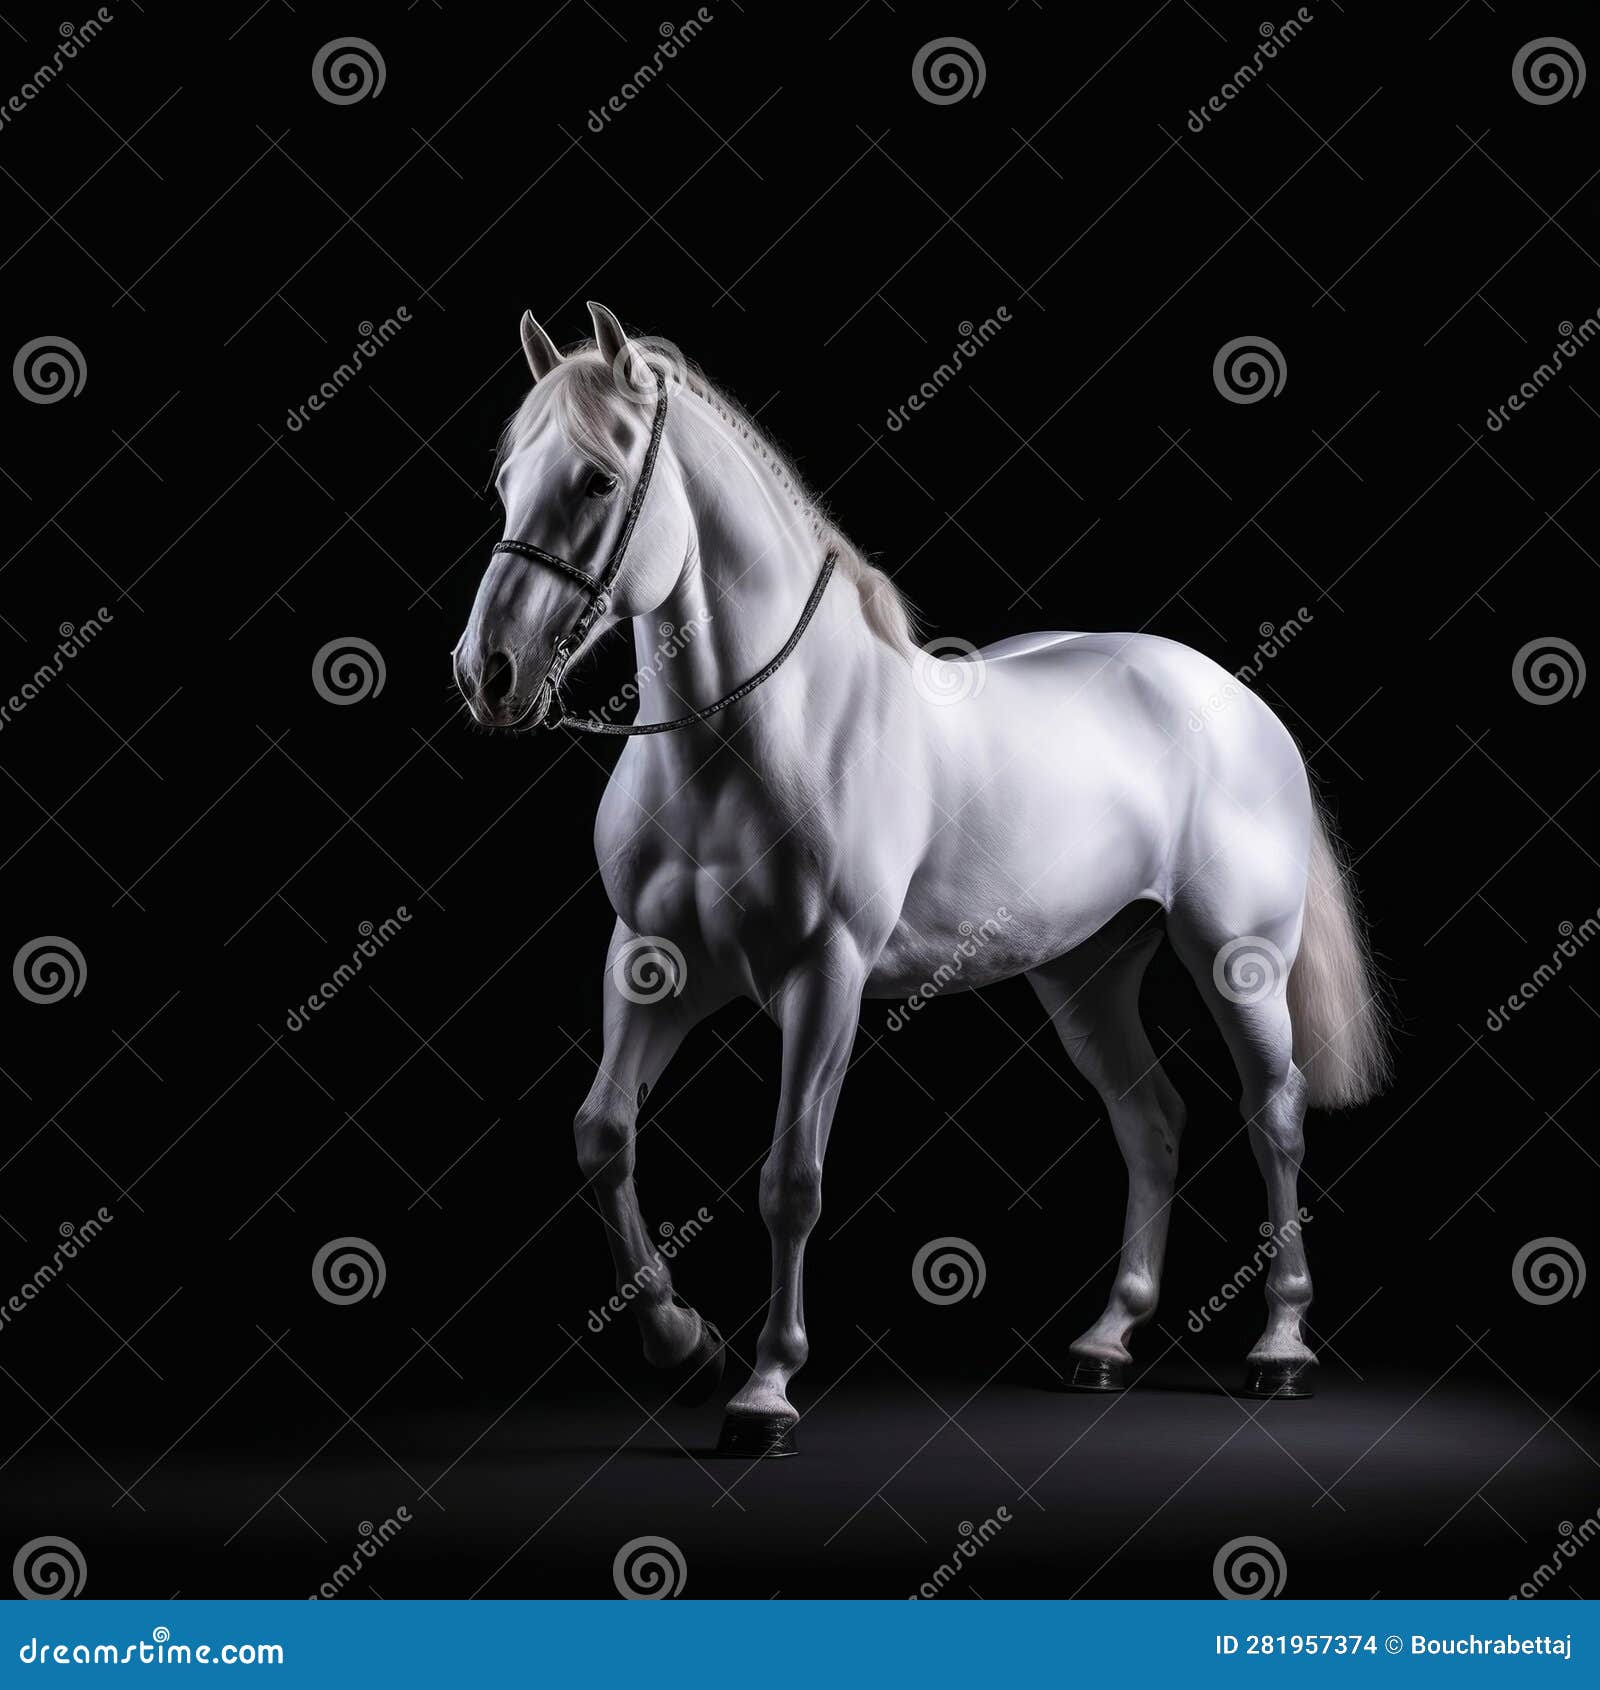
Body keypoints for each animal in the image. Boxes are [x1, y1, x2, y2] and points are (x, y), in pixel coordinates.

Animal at [452, 302, 1392, 1457]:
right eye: (506, 480)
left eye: (593, 479)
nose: (487, 674)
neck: (754, 738)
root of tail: (1233, 696)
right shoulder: (649, 962)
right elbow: (601, 1137)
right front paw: (683, 1345)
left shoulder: (827, 979)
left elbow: (790, 1181)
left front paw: (765, 1392)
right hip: (1085, 973)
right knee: (1152, 1120)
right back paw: (1104, 1341)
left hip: (1238, 957)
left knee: (1275, 1112)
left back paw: (1280, 1347)